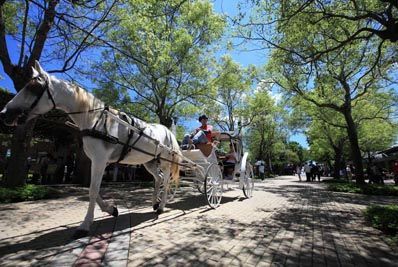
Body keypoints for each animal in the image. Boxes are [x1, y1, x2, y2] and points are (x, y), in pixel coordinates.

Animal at [0, 61, 182, 238]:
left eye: (34, 87)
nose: (4, 113)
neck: (95, 119)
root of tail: (168, 132)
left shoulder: (100, 160)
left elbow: (93, 191)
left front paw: (85, 225)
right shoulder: (98, 161)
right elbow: (92, 188)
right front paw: (110, 209)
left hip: (164, 161)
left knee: (166, 181)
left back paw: (161, 206)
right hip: (149, 161)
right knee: (158, 178)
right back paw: (154, 202)